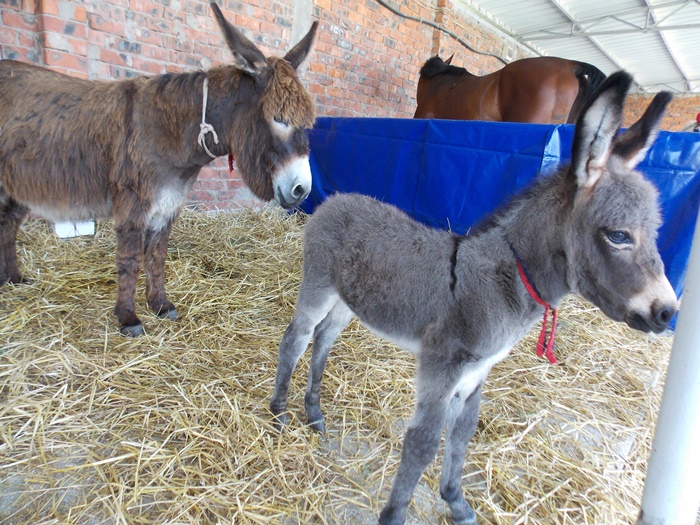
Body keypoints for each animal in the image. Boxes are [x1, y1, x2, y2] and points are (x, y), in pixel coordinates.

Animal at [0, 3, 317, 336]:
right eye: (279, 118)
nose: (302, 189)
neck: (167, 132)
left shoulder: (168, 203)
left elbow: (156, 257)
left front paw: (160, 305)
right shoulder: (133, 205)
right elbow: (129, 260)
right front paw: (128, 318)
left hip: (19, 185)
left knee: (8, 224)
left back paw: (12, 279)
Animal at [270, 71, 677, 525]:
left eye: (655, 231)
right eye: (619, 235)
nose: (667, 312)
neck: (507, 279)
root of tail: (336, 199)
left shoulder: (478, 372)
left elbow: (462, 435)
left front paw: (456, 502)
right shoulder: (443, 367)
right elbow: (423, 443)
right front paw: (396, 514)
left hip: (347, 303)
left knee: (323, 340)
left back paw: (314, 413)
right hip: (319, 285)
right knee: (297, 337)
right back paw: (280, 413)